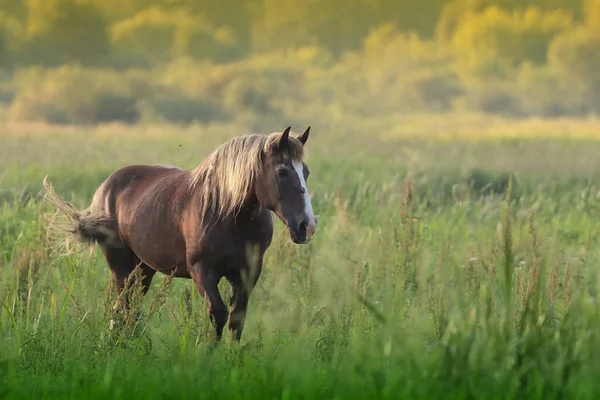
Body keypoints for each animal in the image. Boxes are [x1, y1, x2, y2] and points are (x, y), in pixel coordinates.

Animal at [44, 127, 316, 340]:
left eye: (306, 172)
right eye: (282, 172)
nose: (308, 226)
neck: (227, 211)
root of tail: (105, 189)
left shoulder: (247, 272)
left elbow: (236, 319)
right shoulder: (202, 270)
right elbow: (217, 314)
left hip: (143, 269)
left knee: (128, 309)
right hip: (120, 266)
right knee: (124, 307)